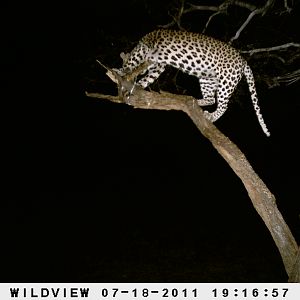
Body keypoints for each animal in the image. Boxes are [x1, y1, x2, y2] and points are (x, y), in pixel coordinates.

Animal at [113, 28, 270, 137]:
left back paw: (211, 116)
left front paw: (120, 71)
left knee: (223, 105)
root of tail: (243, 61)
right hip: (207, 79)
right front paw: (137, 86)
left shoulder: (145, 50)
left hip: (227, 81)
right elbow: (148, 78)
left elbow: (131, 63)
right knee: (211, 98)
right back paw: (196, 101)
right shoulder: (158, 65)